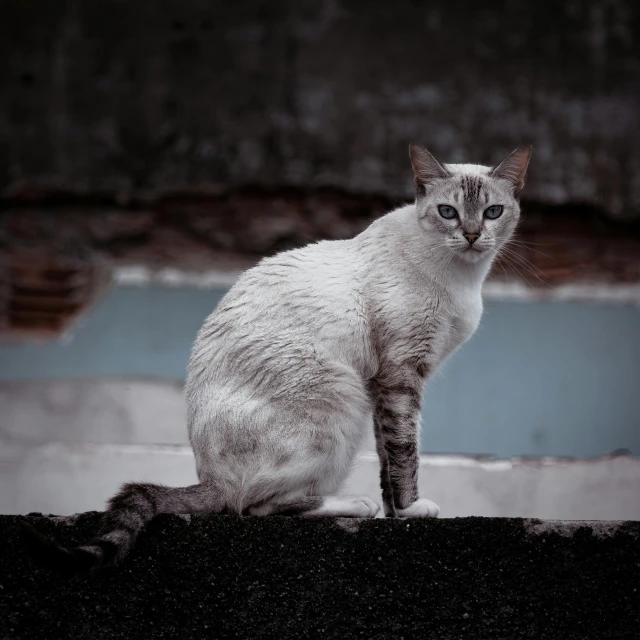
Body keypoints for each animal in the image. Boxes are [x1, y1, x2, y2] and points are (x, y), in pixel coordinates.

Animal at [20, 142, 528, 572]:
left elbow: (389, 458)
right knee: (254, 505)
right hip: (339, 399)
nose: (471, 235)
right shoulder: (400, 376)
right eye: (447, 212)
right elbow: (406, 454)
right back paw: (352, 504)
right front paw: (408, 510)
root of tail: (210, 476)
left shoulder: (391, 383)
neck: (462, 280)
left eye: (492, 212)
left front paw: (394, 513)